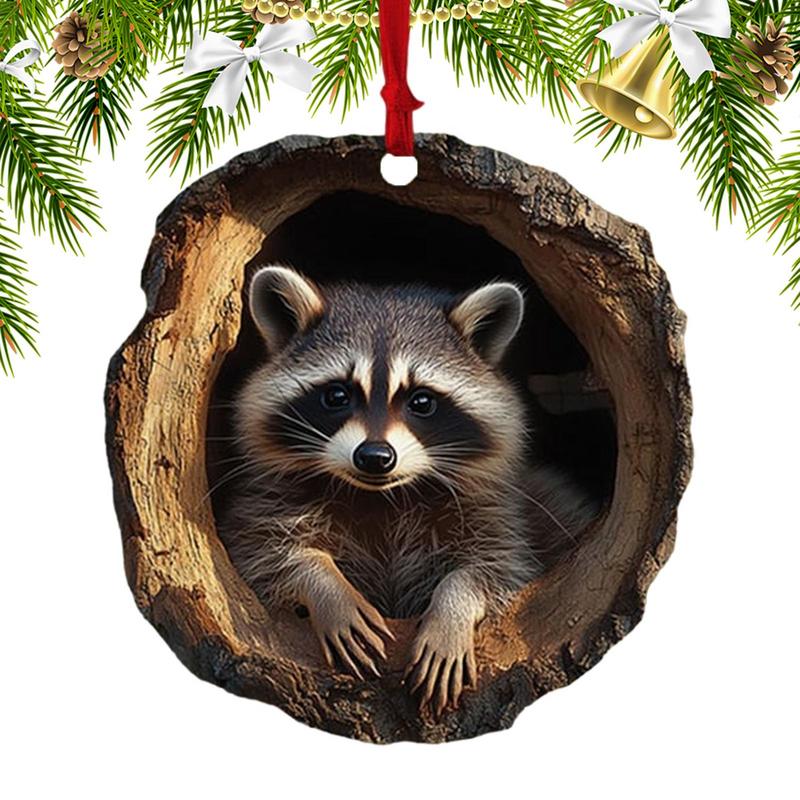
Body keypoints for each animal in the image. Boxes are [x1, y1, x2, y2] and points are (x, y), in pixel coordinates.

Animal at [218, 265, 595, 715]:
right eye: (337, 395)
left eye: (421, 401)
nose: (375, 457)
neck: (382, 495)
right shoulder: (268, 500)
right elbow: (262, 552)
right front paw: (325, 585)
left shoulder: (495, 511)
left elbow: (499, 569)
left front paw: (452, 609)